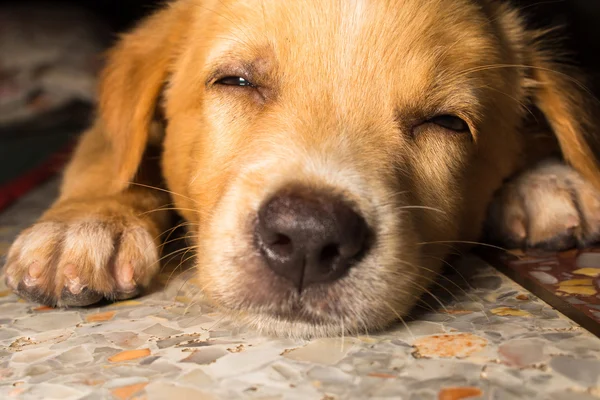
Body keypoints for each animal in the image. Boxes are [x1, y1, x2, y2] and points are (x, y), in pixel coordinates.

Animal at [3, 0, 600, 338]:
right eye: (236, 81)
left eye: (447, 123)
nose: (309, 238)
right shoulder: (108, 136)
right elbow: (110, 157)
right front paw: (84, 225)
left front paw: (549, 178)